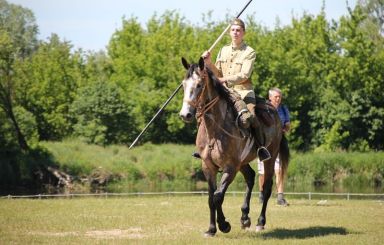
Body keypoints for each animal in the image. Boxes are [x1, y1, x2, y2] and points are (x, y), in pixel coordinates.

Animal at [178, 56, 290, 236]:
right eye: (183, 84)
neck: (214, 131)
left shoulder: (230, 167)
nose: (185, 114)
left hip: (269, 158)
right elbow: (211, 198)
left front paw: (224, 225)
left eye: (199, 85)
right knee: (250, 177)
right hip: (242, 162)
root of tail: (274, 111)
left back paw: (260, 222)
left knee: (266, 187)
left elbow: (218, 196)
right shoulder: (208, 166)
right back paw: (245, 217)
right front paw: (211, 229)